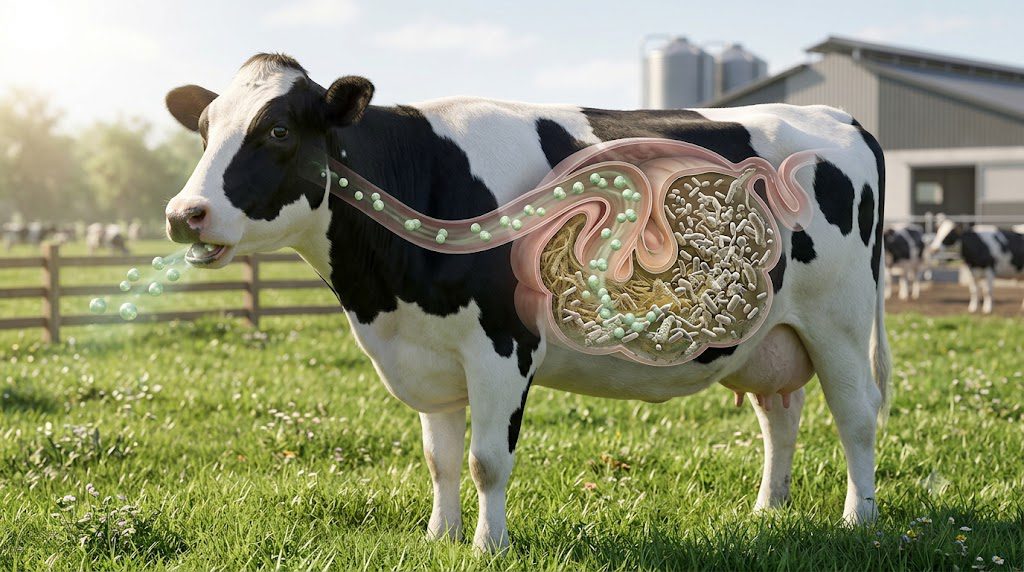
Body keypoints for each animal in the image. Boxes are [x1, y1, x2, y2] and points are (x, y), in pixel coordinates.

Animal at [163, 54, 889, 552]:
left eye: (279, 131)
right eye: (204, 130)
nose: (183, 214)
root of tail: (837, 116)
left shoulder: (501, 346)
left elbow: (487, 460)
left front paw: (490, 546)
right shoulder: (429, 351)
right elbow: (440, 458)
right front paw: (441, 537)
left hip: (841, 322)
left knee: (856, 417)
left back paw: (860, 519)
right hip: (774, 331)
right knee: (781, 415)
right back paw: (770, 509)